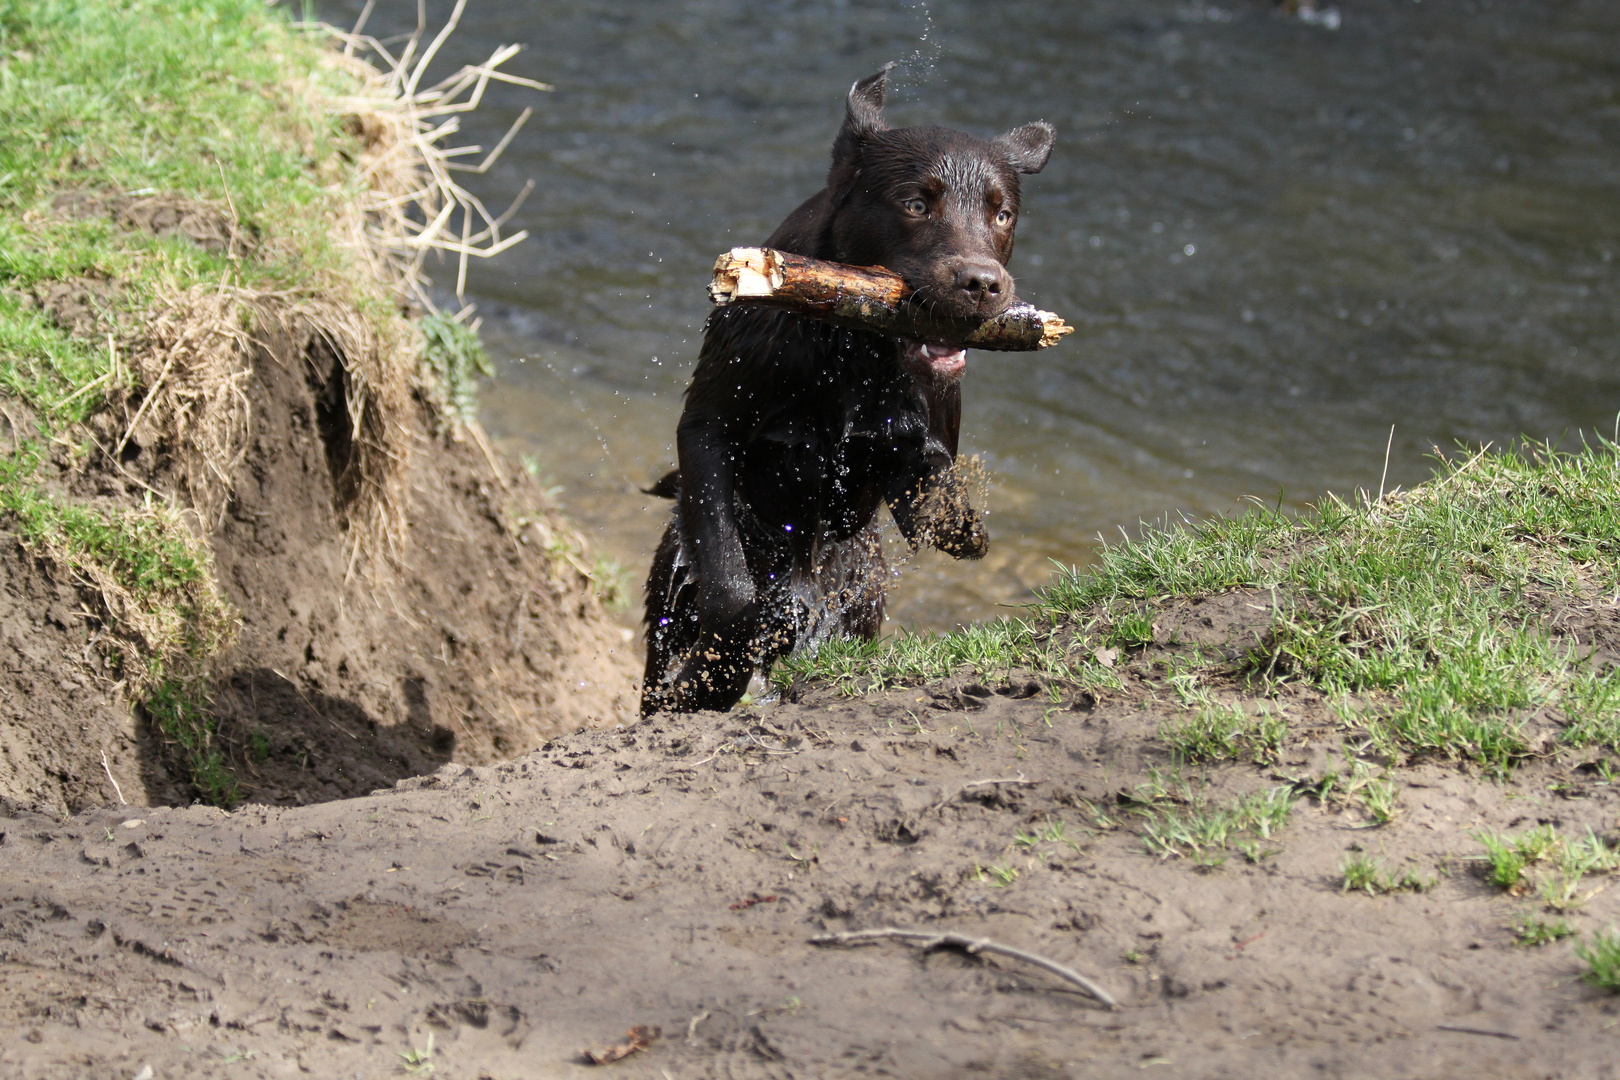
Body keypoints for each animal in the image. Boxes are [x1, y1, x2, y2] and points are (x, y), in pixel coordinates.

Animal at [638, 63, 1056, 712]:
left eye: (1002, 214)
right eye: (915, 203)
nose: (984, 284)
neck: (854, 350)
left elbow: (936, 497)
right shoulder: (710, 427)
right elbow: (733, 591)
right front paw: (707, 682)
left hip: (859, 594)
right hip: (674, 594)